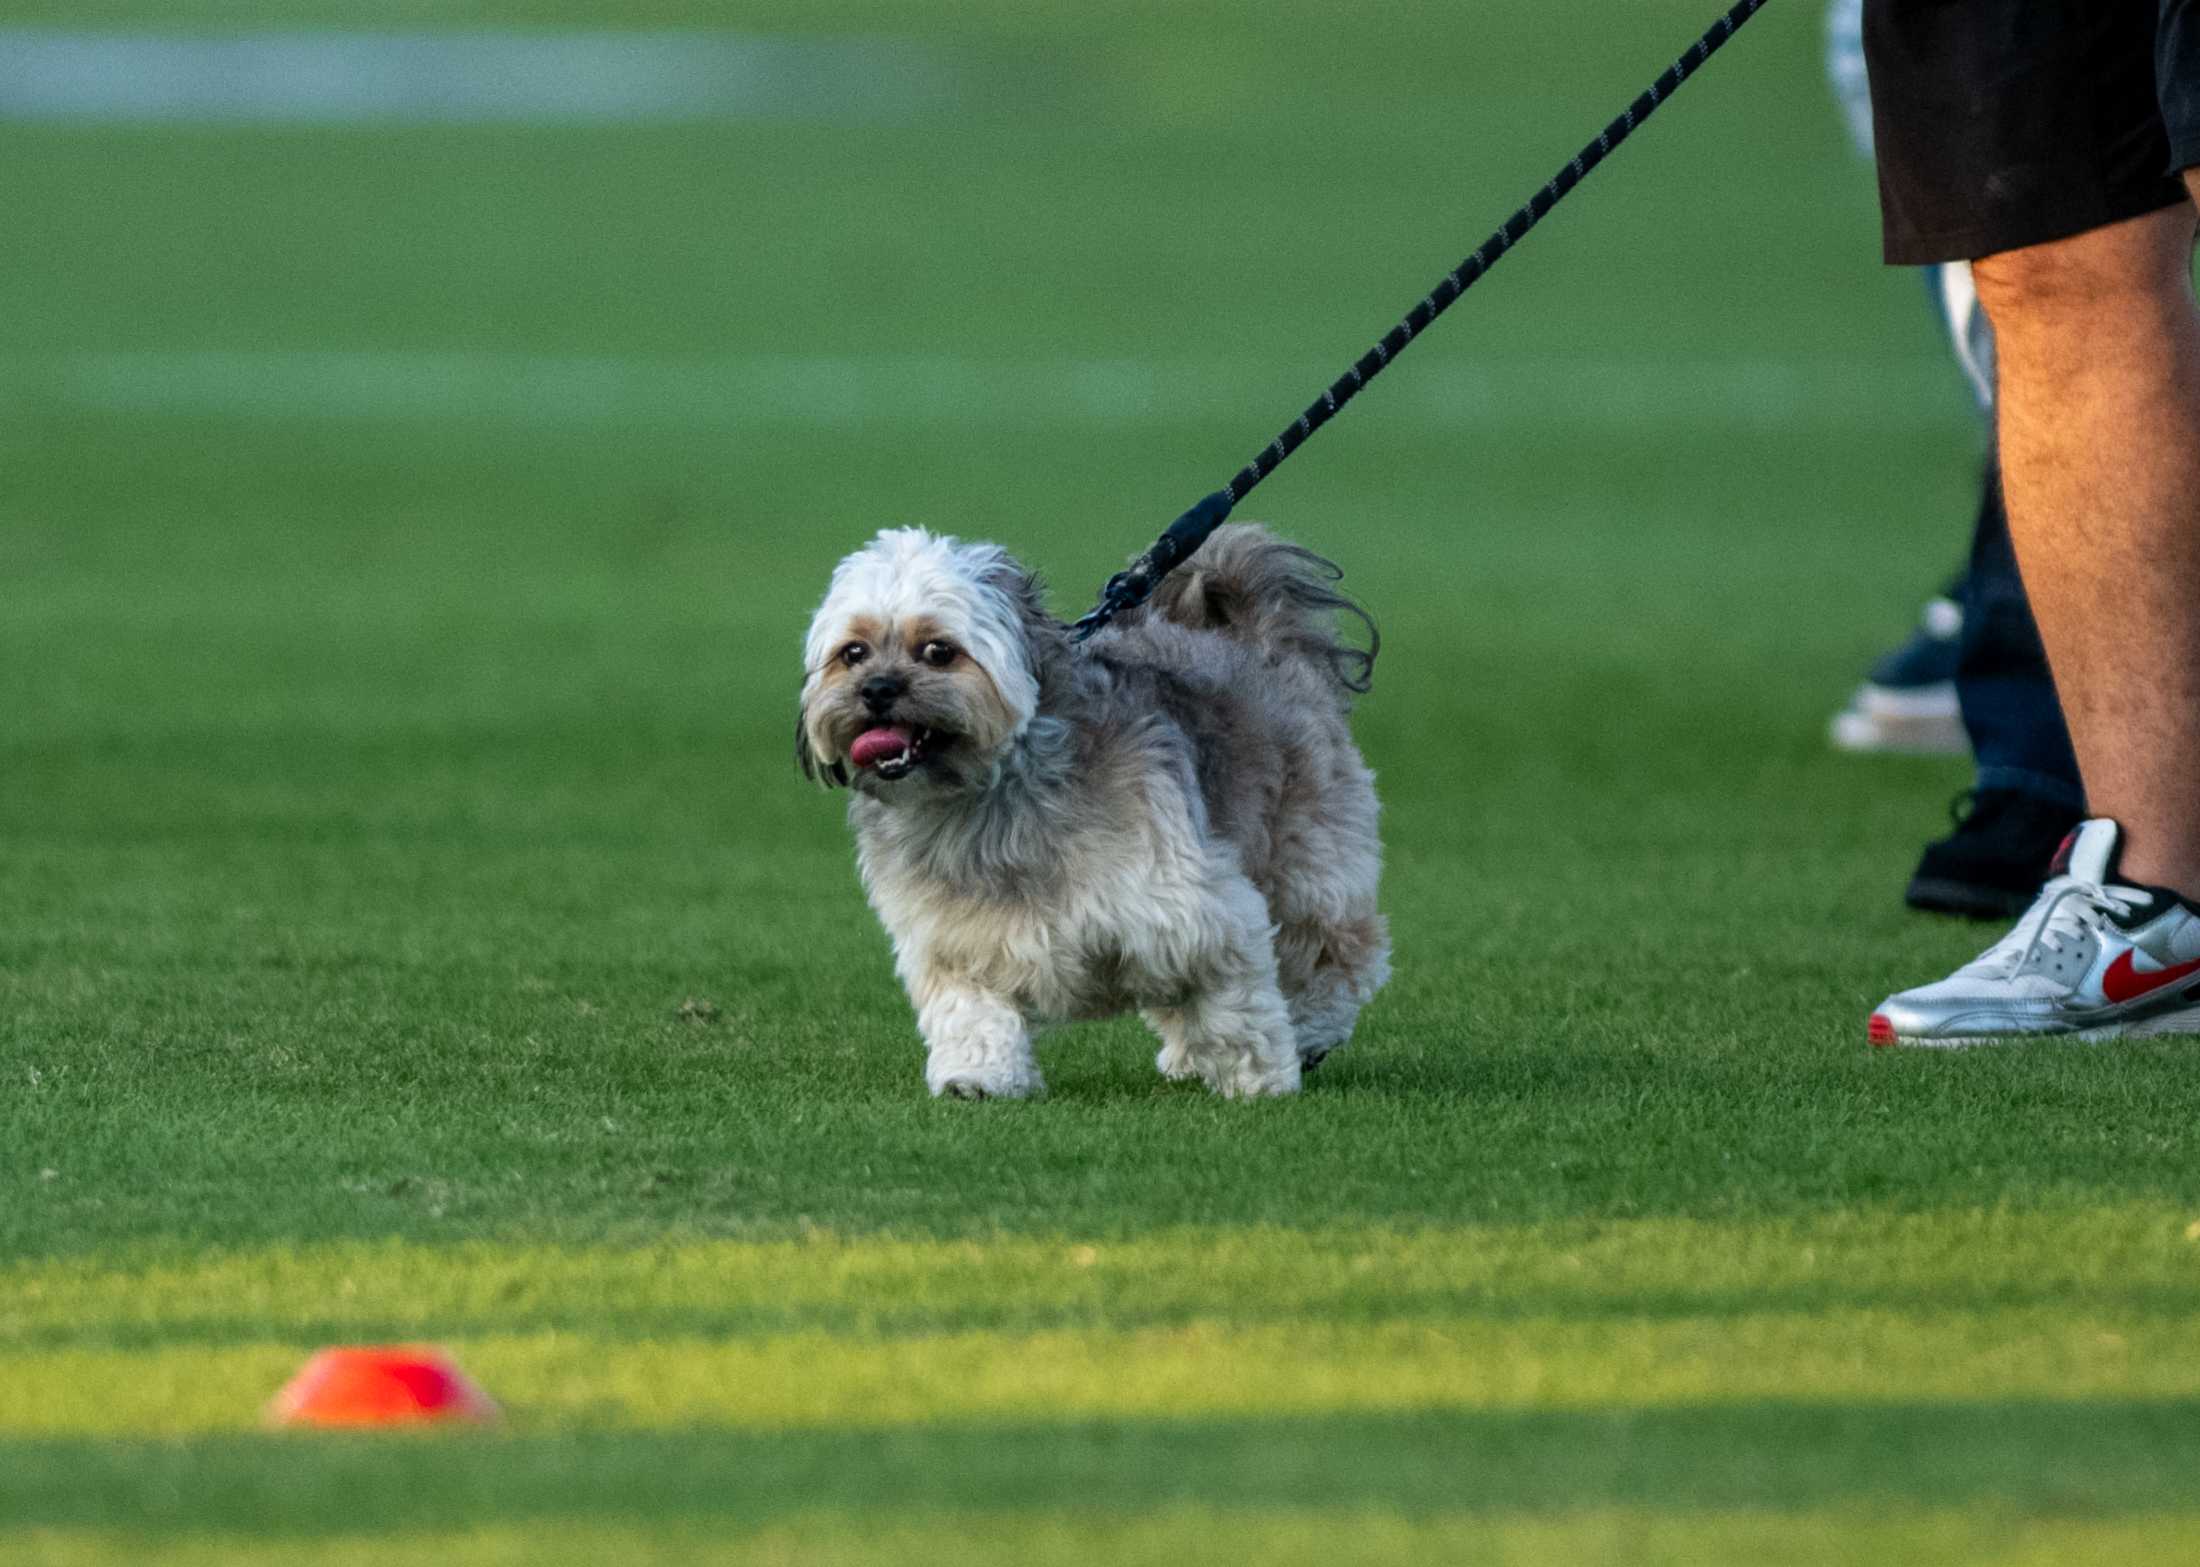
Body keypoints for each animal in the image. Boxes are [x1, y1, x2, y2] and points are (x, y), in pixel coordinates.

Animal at [796, 526, 1390, 1100]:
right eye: (853, 653)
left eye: (939, 651)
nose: (876, 689)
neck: (994, 796)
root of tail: (1257, 637)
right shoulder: (953, 939)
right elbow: (972, 1013)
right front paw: (978, 1077)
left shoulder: (1198, 910)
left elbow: (1234, 1007)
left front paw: (1259, 1079)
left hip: (1306, 862)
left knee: (1335, 950)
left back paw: (1310, 1031)